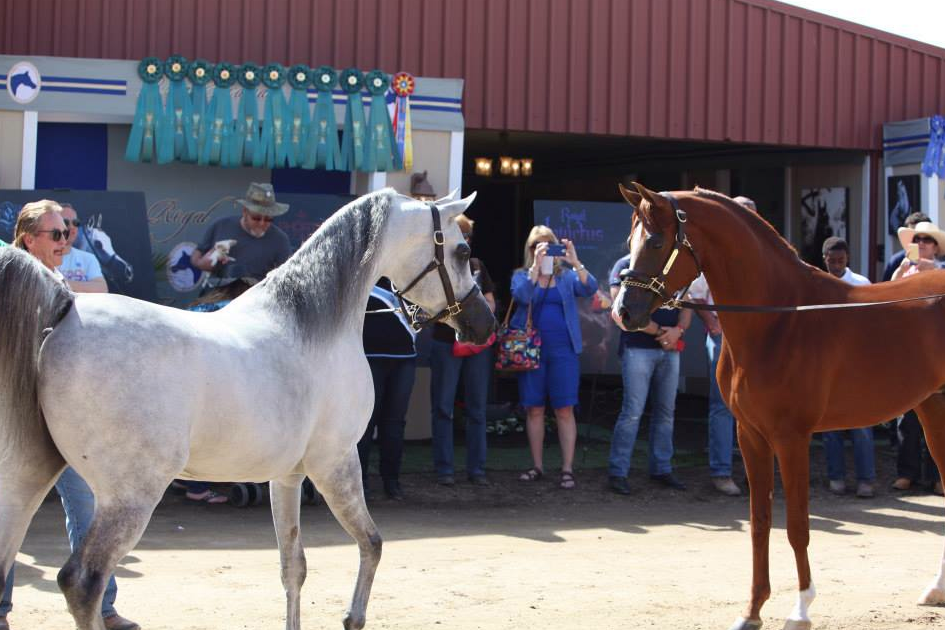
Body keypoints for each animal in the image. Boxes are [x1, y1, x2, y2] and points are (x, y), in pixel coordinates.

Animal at [0, 187, 495, 630]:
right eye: (462, 249)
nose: (484, 324)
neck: (313, 327)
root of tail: (65, 310)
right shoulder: (336, 463)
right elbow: (371, 543)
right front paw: (352, 618)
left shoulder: (288, 476)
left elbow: (293, 566)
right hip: (131, 495)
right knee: (83, 582)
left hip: (29, 479)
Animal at [610, 182, 945, 630]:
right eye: (629, 241)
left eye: (657, 241)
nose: (625, 312)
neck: (778, 320)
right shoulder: (750, 435)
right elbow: (760, 523)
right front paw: (752, 611)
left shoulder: (791, 438)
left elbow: (797, 526)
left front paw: (800, 609)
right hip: (933, 410)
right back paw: (936, 589)